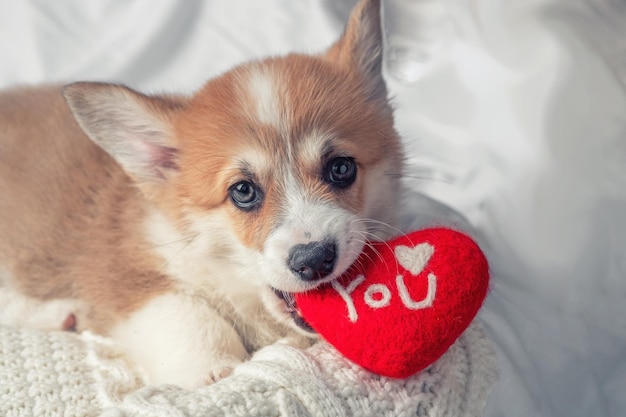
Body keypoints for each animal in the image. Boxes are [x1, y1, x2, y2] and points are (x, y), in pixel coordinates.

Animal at [0, 0, 400, 386]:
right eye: (243, 191)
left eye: (341, 168)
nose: (314, 259)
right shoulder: (121, 275)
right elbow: (188, 314)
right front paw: (212, 369)